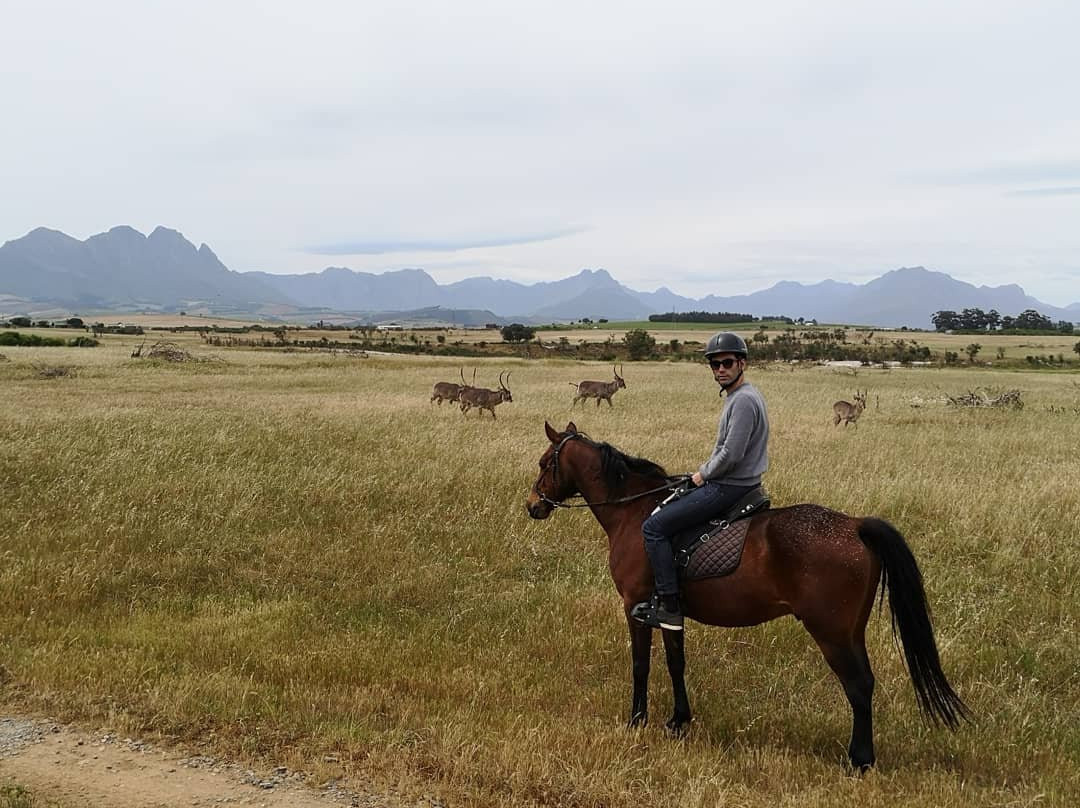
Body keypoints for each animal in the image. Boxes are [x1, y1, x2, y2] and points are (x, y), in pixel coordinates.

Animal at [524, 421, 969, 770]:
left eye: (546, 463)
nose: (532, 506)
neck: (636, 514)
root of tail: (856, 525)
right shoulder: (669, 613)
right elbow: (675, 663)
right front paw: (678, 721)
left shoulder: (634, 606)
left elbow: (640, 665)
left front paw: (637, 720)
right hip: (850, 631)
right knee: (865, 684)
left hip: (832, 633)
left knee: (858, 686)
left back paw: (859, 760)